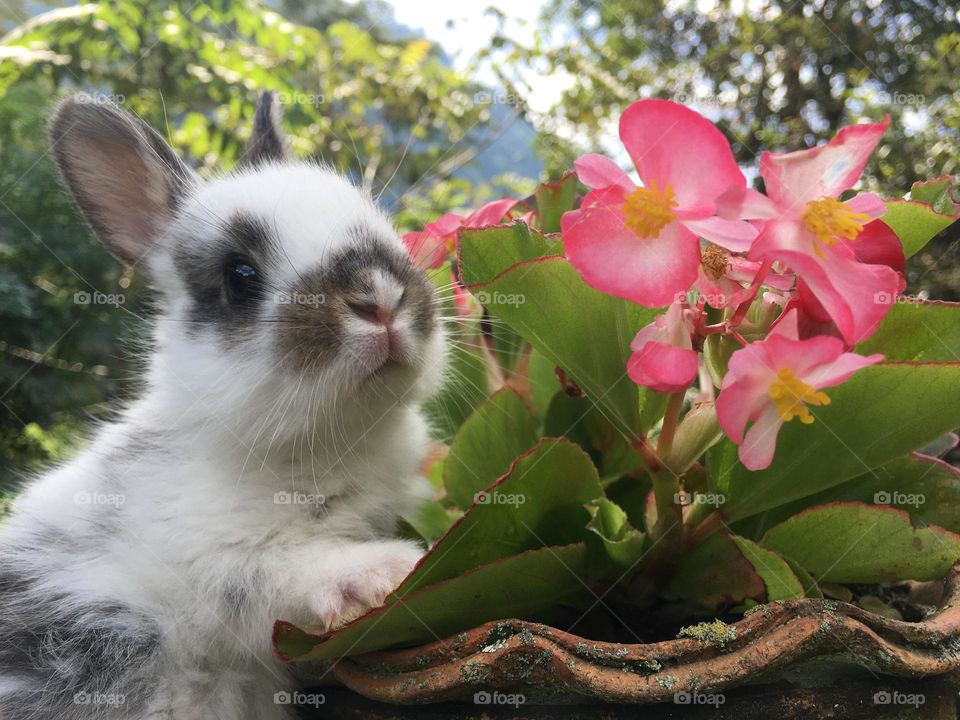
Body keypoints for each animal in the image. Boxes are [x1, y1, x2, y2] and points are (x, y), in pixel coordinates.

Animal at [0, 92, 446, 719]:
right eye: (240, 278)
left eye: (381, 223)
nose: (379, 298)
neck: (333, 439)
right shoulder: (201, 561)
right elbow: (276, 571)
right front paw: (387, 569)